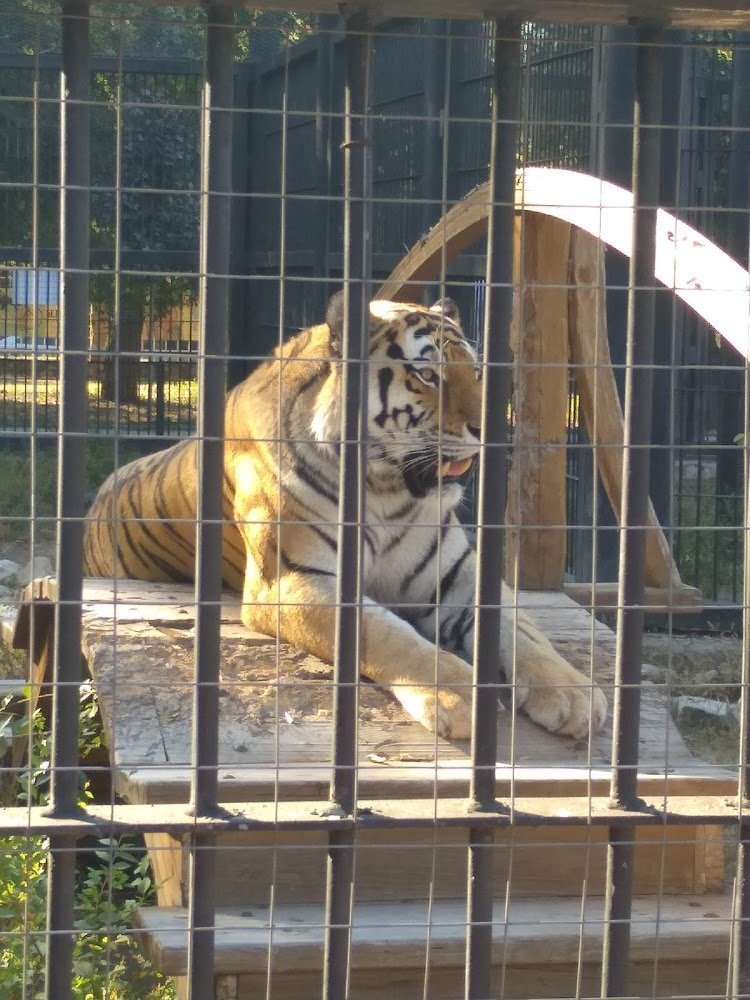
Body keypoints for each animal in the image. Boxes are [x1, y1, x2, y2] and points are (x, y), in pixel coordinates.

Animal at [85, 292, 608, 740]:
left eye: (477, 372)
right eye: (428, 376)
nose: (496, 431)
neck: (388, 492)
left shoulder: (460, 575)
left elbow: (525, 631)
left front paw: (574, 693)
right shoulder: (293, 581)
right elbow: (387, 634)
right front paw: (462, 697)